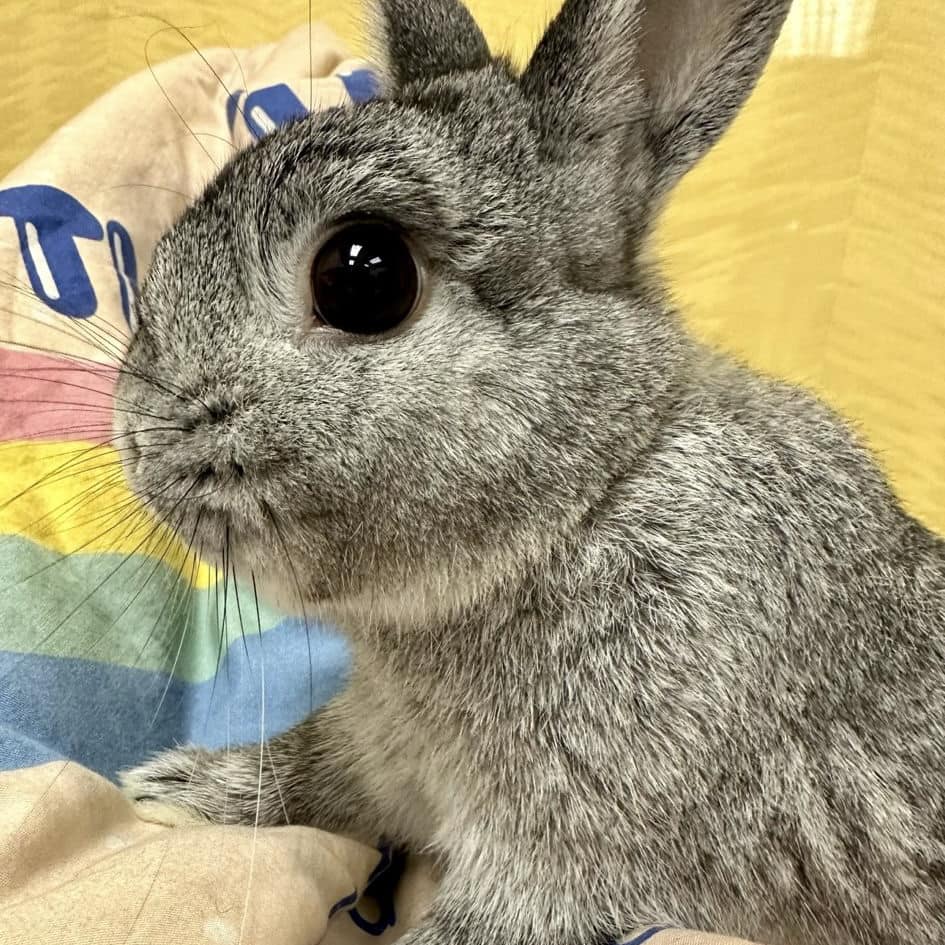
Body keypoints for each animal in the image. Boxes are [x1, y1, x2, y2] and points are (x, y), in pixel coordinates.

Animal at [115, 0, 945, 943]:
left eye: (363, 276)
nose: (135, 438)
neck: (589, 502)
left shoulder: (559, 860)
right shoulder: (380, 753)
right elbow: (309, 771)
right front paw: (174, 789)